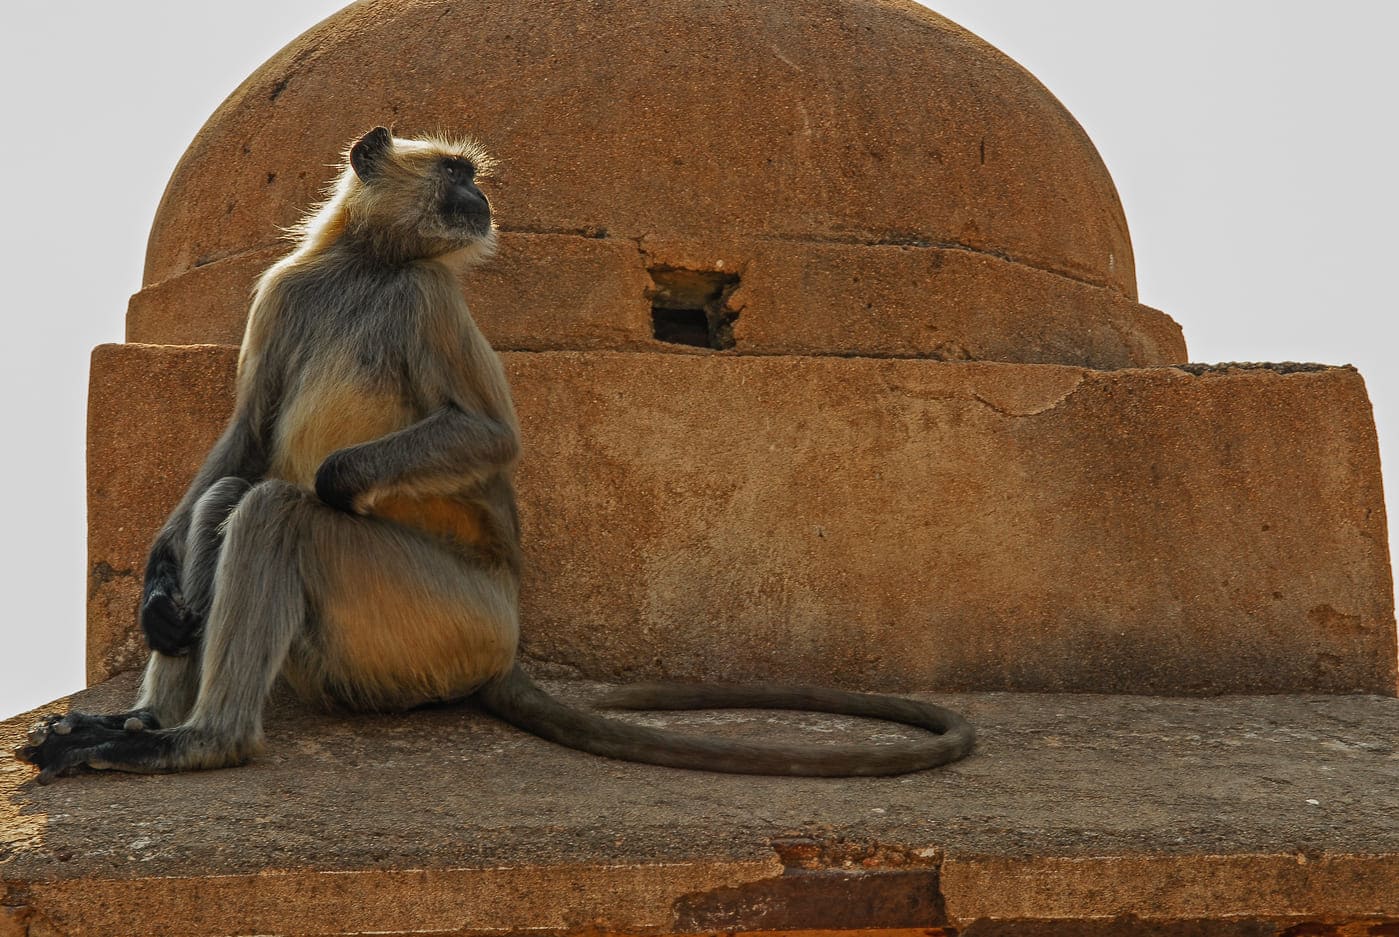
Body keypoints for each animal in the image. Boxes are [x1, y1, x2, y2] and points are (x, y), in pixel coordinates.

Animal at [13, 126, 973, 783]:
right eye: (457, 175)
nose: (480, 201)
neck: (368, 264)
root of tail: (502, 646)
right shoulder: (283, 291)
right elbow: (245, 435)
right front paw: (158, 590)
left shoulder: (430, 297)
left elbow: (479, 439)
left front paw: (335, 485)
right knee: (226, 498)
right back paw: (142, 724)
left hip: (441, 619)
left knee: (276, 510)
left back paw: (203, 741)